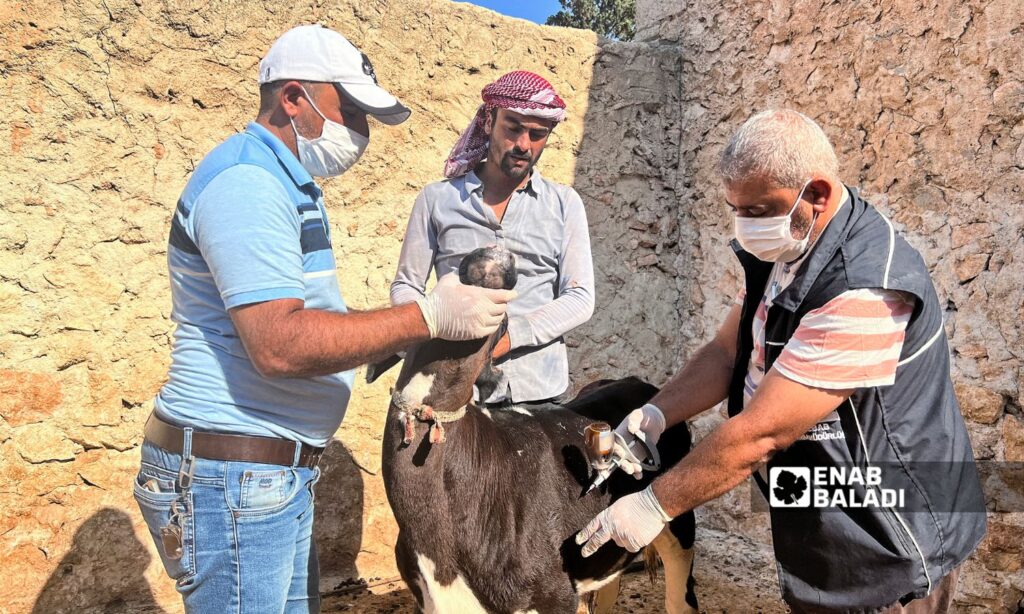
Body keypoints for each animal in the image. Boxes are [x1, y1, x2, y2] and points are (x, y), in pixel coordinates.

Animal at [380, 248, 700, 614]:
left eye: (502, 321)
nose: (495, 253)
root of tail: (639, 383)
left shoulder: (554, 593)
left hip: (680, 526)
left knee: (681, 596)